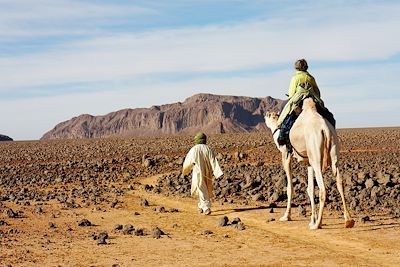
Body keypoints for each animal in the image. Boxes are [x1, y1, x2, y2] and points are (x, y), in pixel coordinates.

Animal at [264, 98, 354, 230]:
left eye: (269, 115)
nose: (265, 114)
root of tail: (325, 129)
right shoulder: (308, 162)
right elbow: (310, 189)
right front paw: (312, 219)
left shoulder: (286, 155)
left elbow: (290, 187)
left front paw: (286, 216)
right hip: (333, 152)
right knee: (339, 182)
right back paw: (348, 220)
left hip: (316, 156)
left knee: (323, 189)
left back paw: (318, 224)